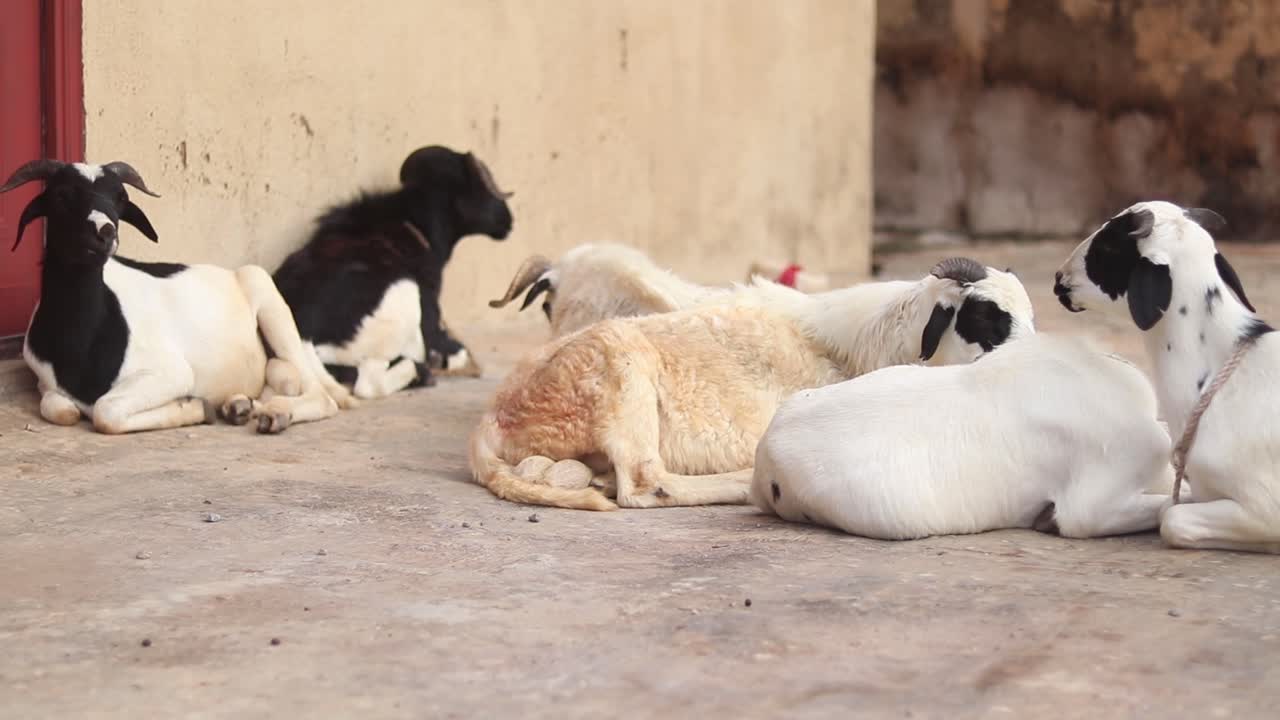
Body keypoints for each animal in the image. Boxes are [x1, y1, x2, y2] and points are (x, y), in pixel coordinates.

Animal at [0, 159, 354, 434]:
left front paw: (193, 408)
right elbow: (62, 410)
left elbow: (105, 412)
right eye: (61, 195)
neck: (86, 338)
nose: (105, 233)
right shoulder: (46, 383)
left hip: (267, 296)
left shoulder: (170, 372)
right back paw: (240, 405)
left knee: (322, 396)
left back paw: (275, 413)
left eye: (119, 197)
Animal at [273, 146, 513, 399]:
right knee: (369, 381)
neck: (414, 224)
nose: (508, 221)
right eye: (482, 185)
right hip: (404, 297)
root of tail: (304, 334)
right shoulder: (429, 312)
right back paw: (421, 372)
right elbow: (453, 350)